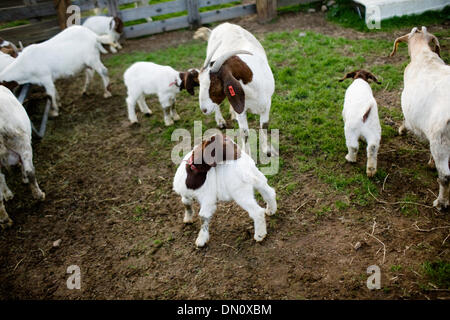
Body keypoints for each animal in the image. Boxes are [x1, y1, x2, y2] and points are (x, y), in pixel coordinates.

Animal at [197, 22, 278, 156]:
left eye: (213, 86)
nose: (203, 110)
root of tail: (223, 25)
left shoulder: (267, 104)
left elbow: (264, 126)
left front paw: (267, 150)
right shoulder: (242, 110)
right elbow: (244, 133)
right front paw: (248, 155)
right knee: (217, 106)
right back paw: (220, 121)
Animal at [390, 26, 450, 209]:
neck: (424, 56)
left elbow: (406, 120)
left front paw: (401, 129)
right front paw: (431, 162)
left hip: (441, 140)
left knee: (445, 177)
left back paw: (441, 202)